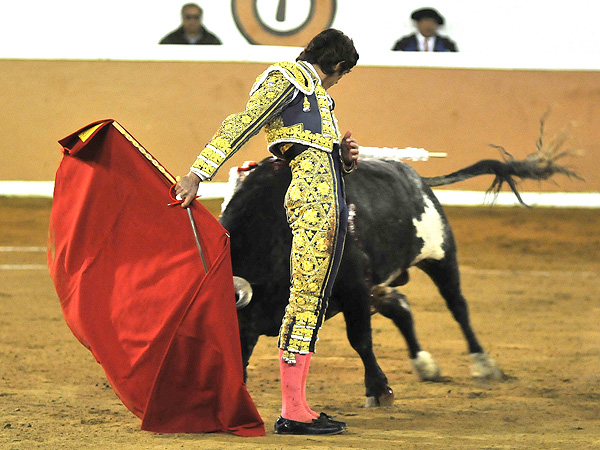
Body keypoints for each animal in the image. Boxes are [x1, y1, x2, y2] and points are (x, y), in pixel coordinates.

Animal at [221, 142, 579, 407]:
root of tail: (416, 177)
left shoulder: (353, 286)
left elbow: (360, 339)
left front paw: (379, 391)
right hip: (383, 281)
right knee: (401, 306)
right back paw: (424, 364)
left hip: (440, 254)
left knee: (457, 306)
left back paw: (484, 364)